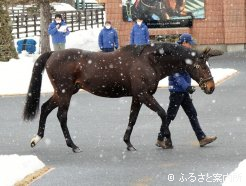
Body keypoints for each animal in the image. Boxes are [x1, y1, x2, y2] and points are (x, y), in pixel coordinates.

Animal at [23, 43, 220, 153]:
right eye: (201, 66)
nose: (211, 87)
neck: (149, 60)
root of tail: (53, 54)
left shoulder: (137, 97)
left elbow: (132, 118)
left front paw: (129, 143)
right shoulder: (144, 95)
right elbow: (164, 114)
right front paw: (164, 141)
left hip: (64, 92)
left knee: (45, 108)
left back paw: (36, 138)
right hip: (65, 93)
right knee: (61, 116)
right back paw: (73, 146)